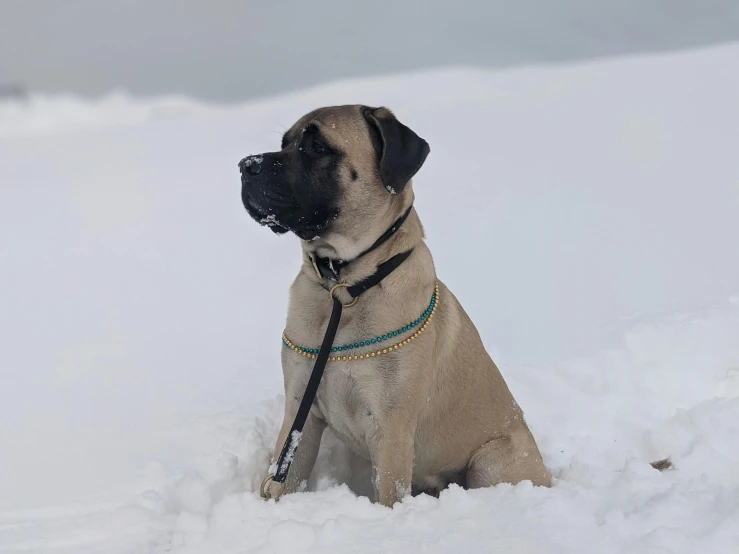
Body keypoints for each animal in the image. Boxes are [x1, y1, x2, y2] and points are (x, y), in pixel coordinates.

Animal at [240, 103, 552, 504]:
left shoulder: (392, 427)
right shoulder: (300, 412)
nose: (246, 165)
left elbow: (390, 493)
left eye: (318, 147)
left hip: (492, 461)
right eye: (285, 143)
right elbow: (284, 475)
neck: (345, 288)